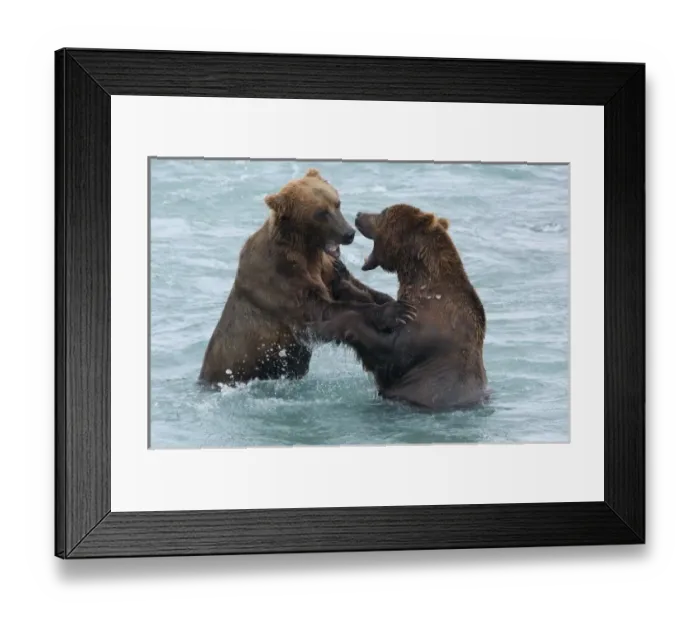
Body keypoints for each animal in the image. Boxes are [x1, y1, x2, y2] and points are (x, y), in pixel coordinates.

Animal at [198, 170, 415, 385]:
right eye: (320, 213)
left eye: (337, 203)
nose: (349, 233)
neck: (305, 252)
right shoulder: (282, 282)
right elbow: (323, 310)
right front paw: (394, 311)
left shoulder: (325, 269)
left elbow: (352, 287)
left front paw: (389, 300)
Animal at [318, 203, 488, 411]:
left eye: (383, 212)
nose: (359, 214)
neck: (421, 281)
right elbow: (383, 303)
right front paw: (340, 275)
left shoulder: (429, 327)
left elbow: (388, 354)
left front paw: (335, 325)